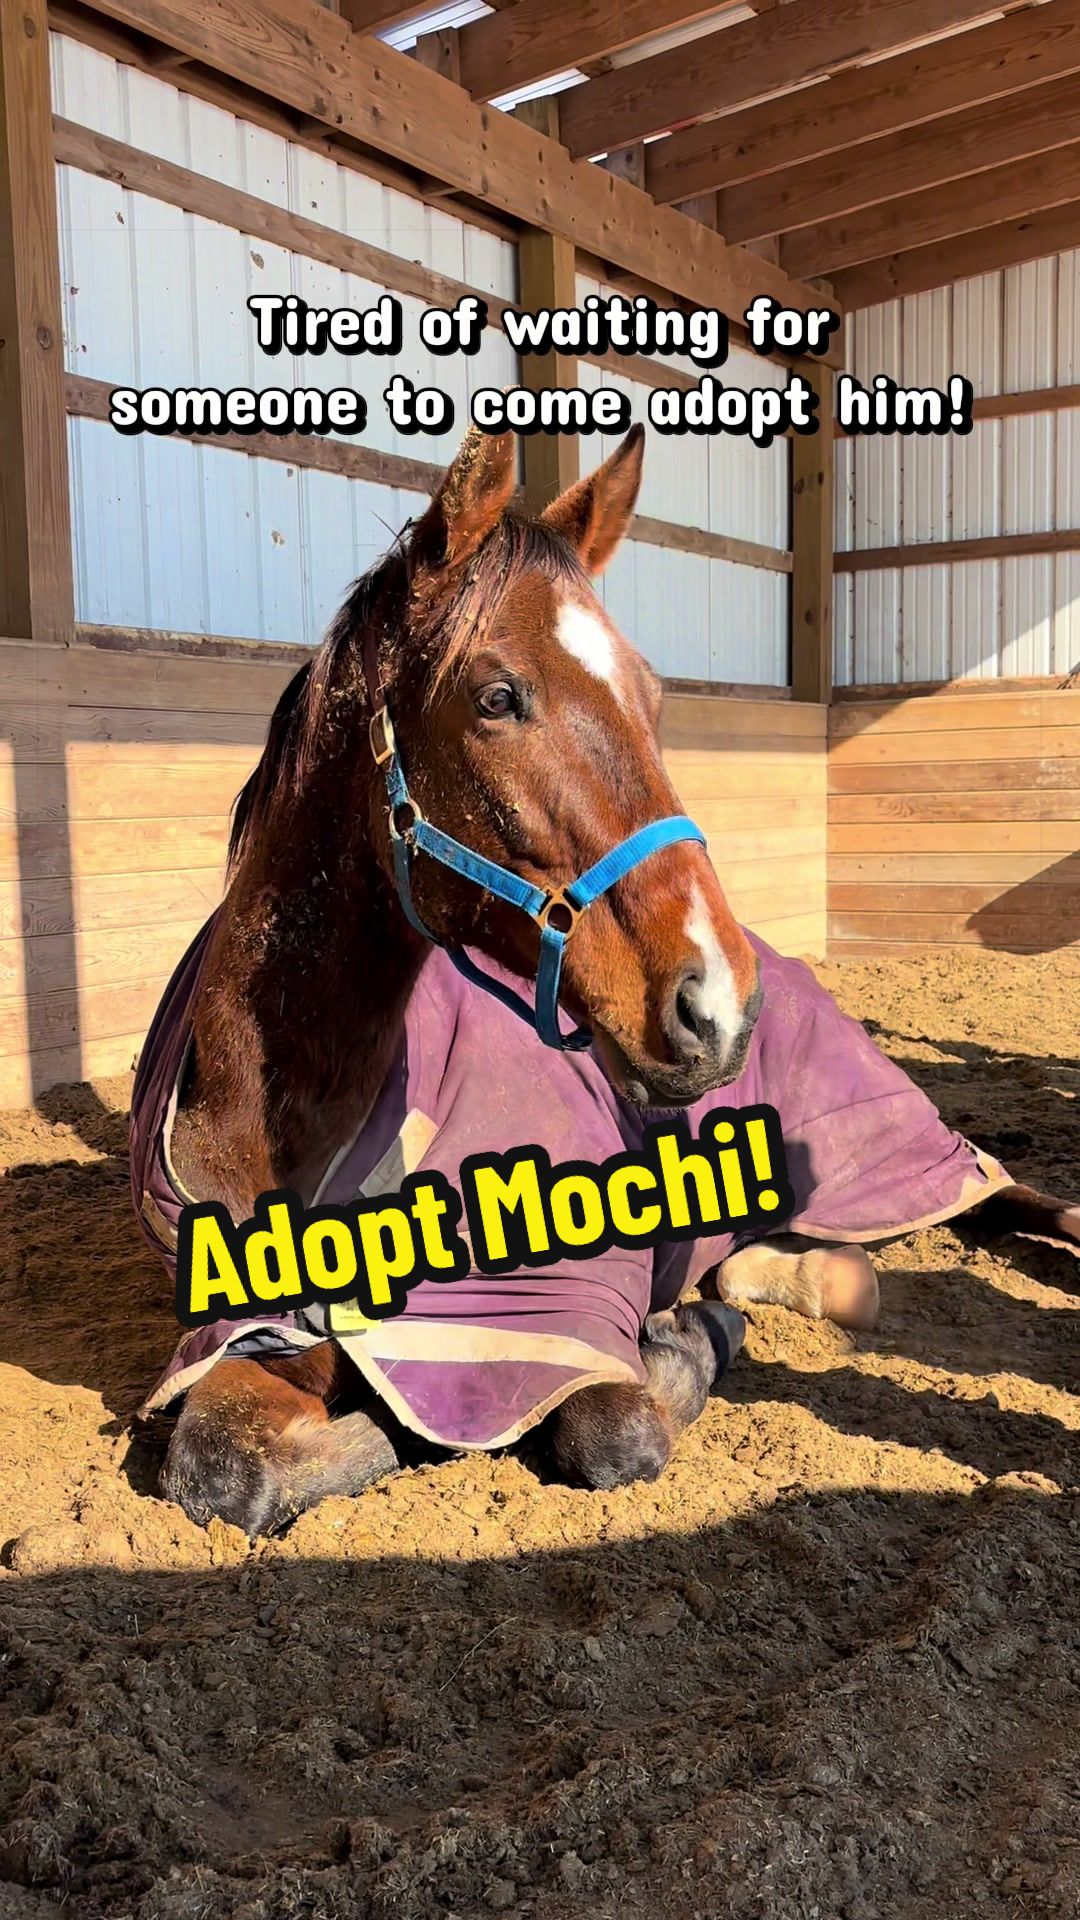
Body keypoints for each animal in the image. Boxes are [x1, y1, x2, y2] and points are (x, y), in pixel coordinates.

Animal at [130, 424, 1079, 1537]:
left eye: (651, 696)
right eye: (498, 698)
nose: (718, 1003)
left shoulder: (545, 1324)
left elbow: (602, 1429)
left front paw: (686, 1344)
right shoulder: (254, 1337)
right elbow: (220, 1468)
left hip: (888, 1154)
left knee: (1013, 1196)